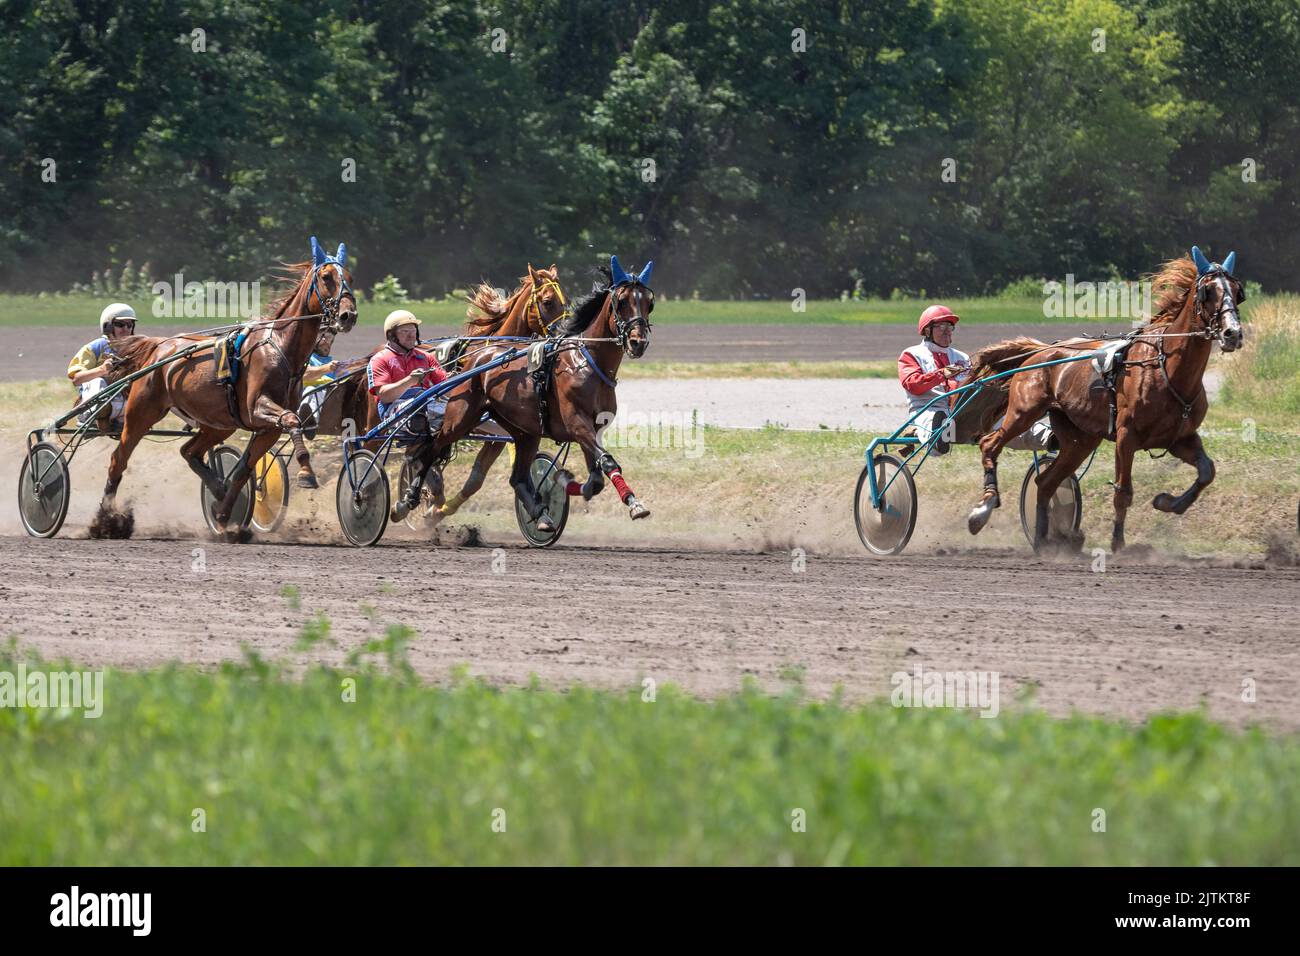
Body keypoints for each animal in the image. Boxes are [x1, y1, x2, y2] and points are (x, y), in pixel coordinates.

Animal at [101, 236, 358, 535]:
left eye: (349, 277)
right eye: (326, 277)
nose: (348, 315)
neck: (280, 348)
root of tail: (159, 346)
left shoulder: (267, 427)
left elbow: (244, 469)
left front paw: (224, 515)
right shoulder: (258, 407)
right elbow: (292, 420)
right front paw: (306, 472)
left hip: (218, 423)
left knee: (189, 451)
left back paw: (217, 488)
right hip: (141, 413)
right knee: (118, 460)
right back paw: (106, 518)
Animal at [423, 256, 655, 530]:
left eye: (649, 303)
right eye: (621, 301)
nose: (638, 342)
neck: (585, 362)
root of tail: (477, 359)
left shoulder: (593, 428)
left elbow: (595, 480)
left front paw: (560, 482)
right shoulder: (577, 423)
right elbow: (606, 462)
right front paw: (634, 503)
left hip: (523, 431)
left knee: (516, 477)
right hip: (460, 418)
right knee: (428, 449)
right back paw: (412, 498)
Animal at [972, 247, 1242, 554]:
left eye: (1237, 291)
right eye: (1208, 291)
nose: (1232, 333)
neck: (1165, 367)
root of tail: (1040, 352)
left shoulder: (1180, 438)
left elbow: (1207, 471)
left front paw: (1167, 502)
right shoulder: (1126, 436)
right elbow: (1123, 492)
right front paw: (1118, 543)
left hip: (1080, 439)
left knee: (1045, 482)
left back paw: (1043, 540)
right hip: (1023, 412)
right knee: (990, 445)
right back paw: (983, 508)